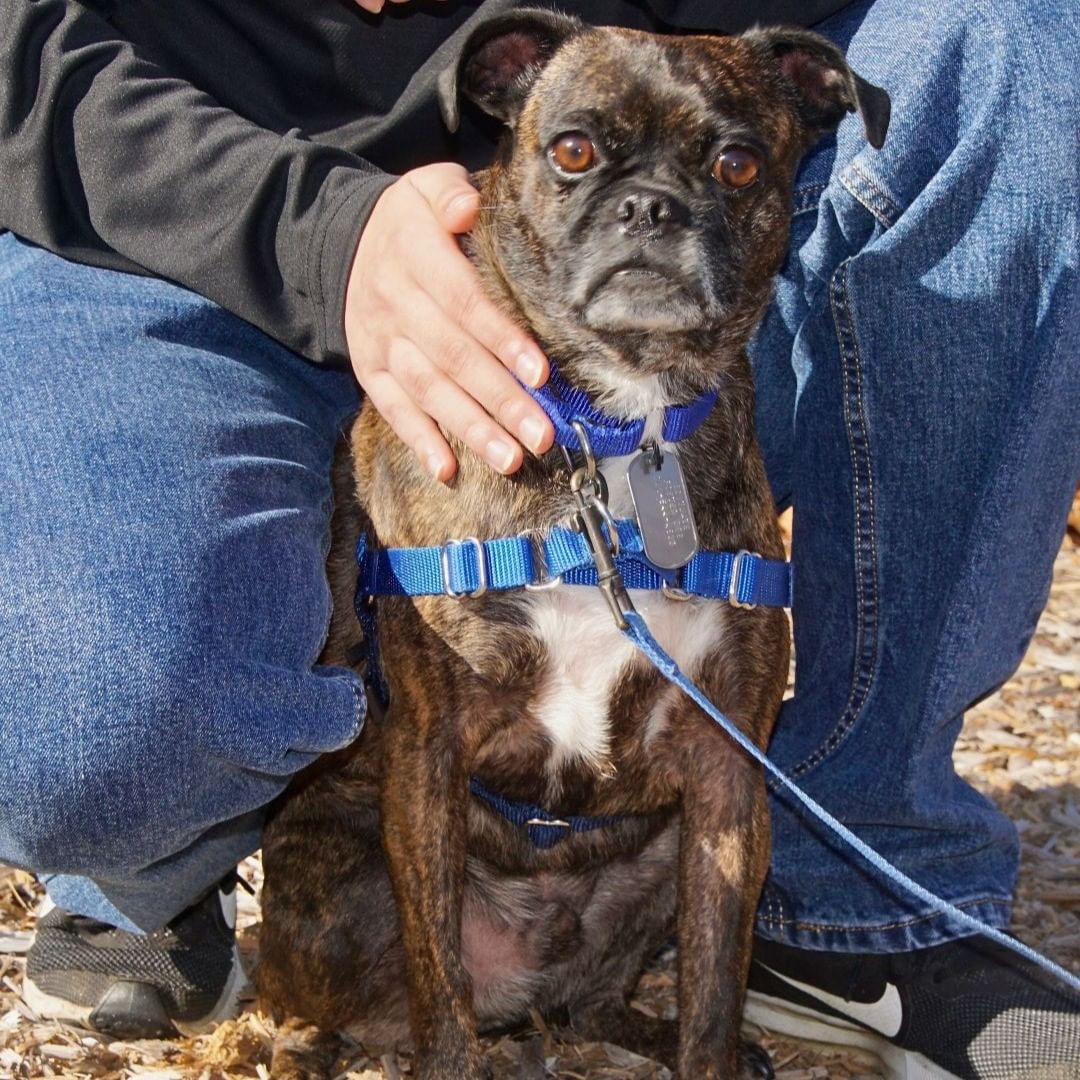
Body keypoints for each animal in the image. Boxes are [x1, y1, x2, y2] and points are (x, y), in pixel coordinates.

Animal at [257, 10, 889, 1080]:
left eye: (737, 163)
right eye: (574, 151)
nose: (650, 207)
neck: (617, 435)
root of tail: (532, 988)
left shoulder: (727, 780)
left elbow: (715, 988)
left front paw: (710, 1051)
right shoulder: (428, 759)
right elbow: (439, 989)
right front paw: (451, 1056)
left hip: (660, 859)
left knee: (596, 1001)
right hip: (337, 890)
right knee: (363, 1010)